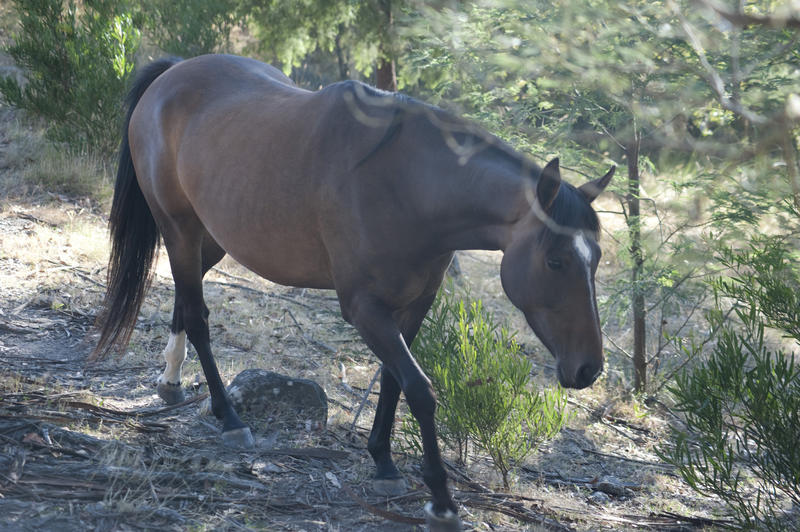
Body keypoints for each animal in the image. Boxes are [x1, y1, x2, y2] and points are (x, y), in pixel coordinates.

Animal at [95, 55, 612, 532]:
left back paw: (170, 379)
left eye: (598, 258)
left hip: (214, 237)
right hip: (179, 228)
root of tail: (174, 71)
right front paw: (441, 500)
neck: (407, 185)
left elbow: (393, 381)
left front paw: (383, 462)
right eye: (556, 261)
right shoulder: (364, 309)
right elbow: (419, 389)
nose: (588, 368)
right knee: (198, 316)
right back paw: (229, 418)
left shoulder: (413, 304)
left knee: (186, 299)